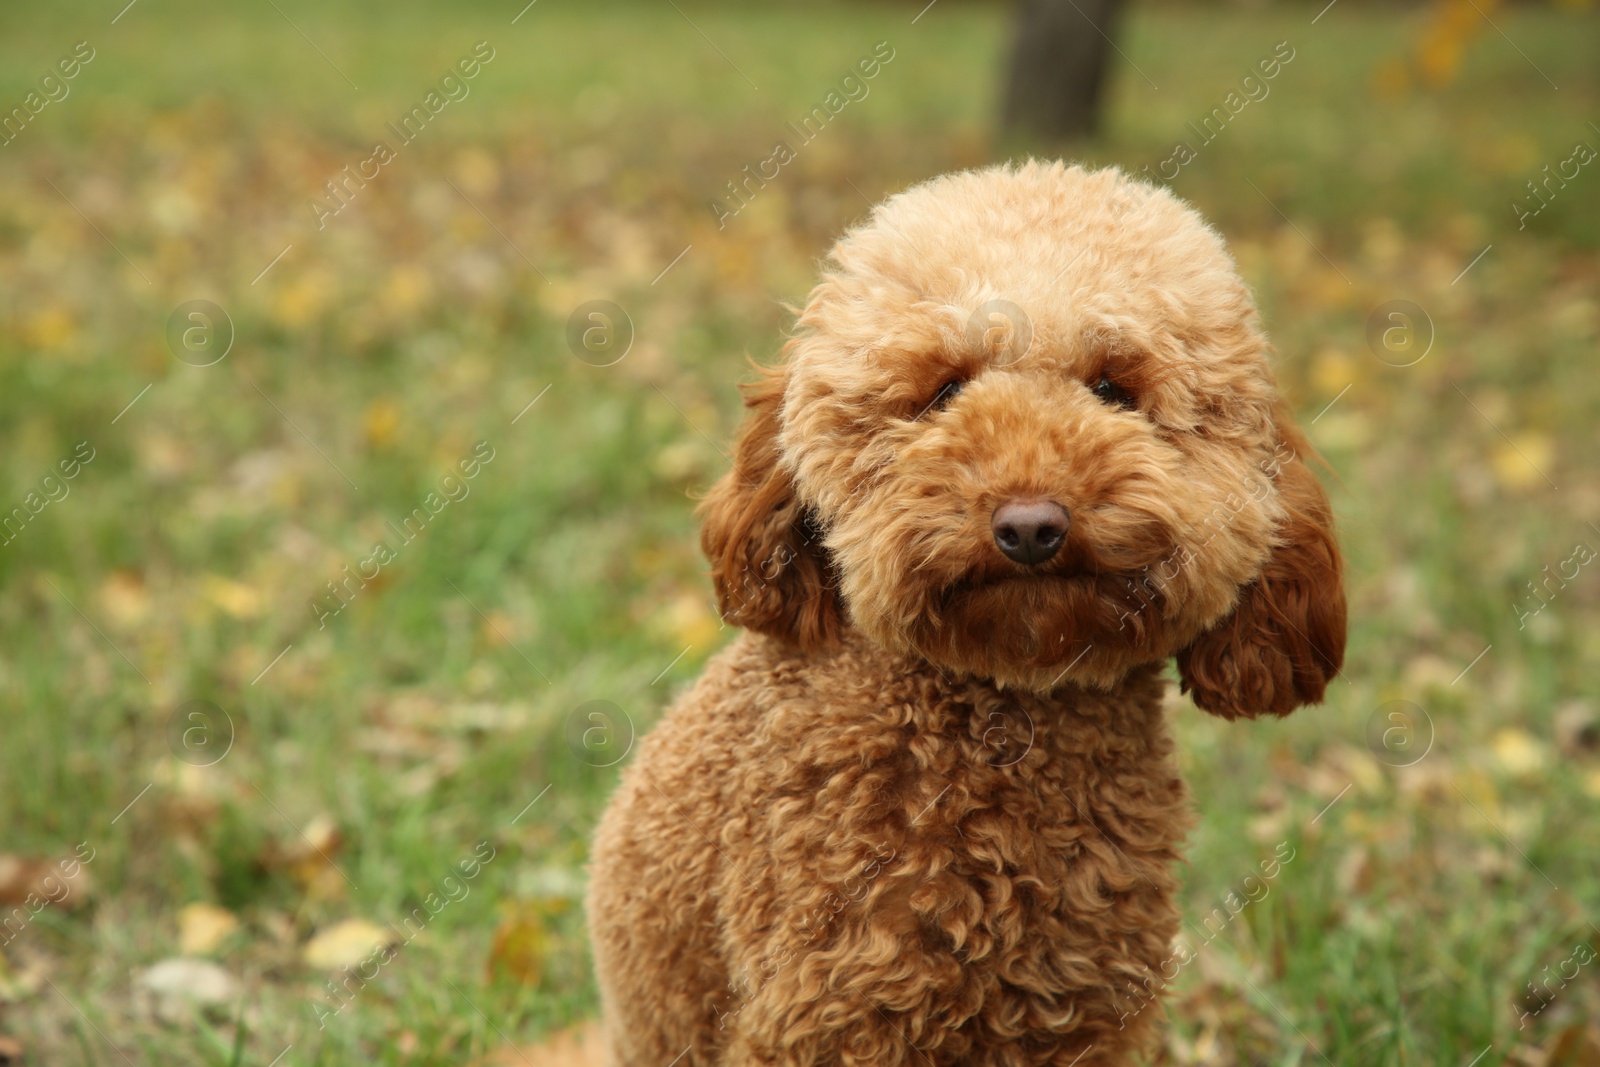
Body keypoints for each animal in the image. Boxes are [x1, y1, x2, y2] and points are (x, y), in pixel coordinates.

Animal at [582, 160, 1344, 1067]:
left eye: (1115, 389)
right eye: (943, 389)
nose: (1030, 526)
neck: (1003, 717)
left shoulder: (1084, 1016)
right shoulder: (828, 1018)